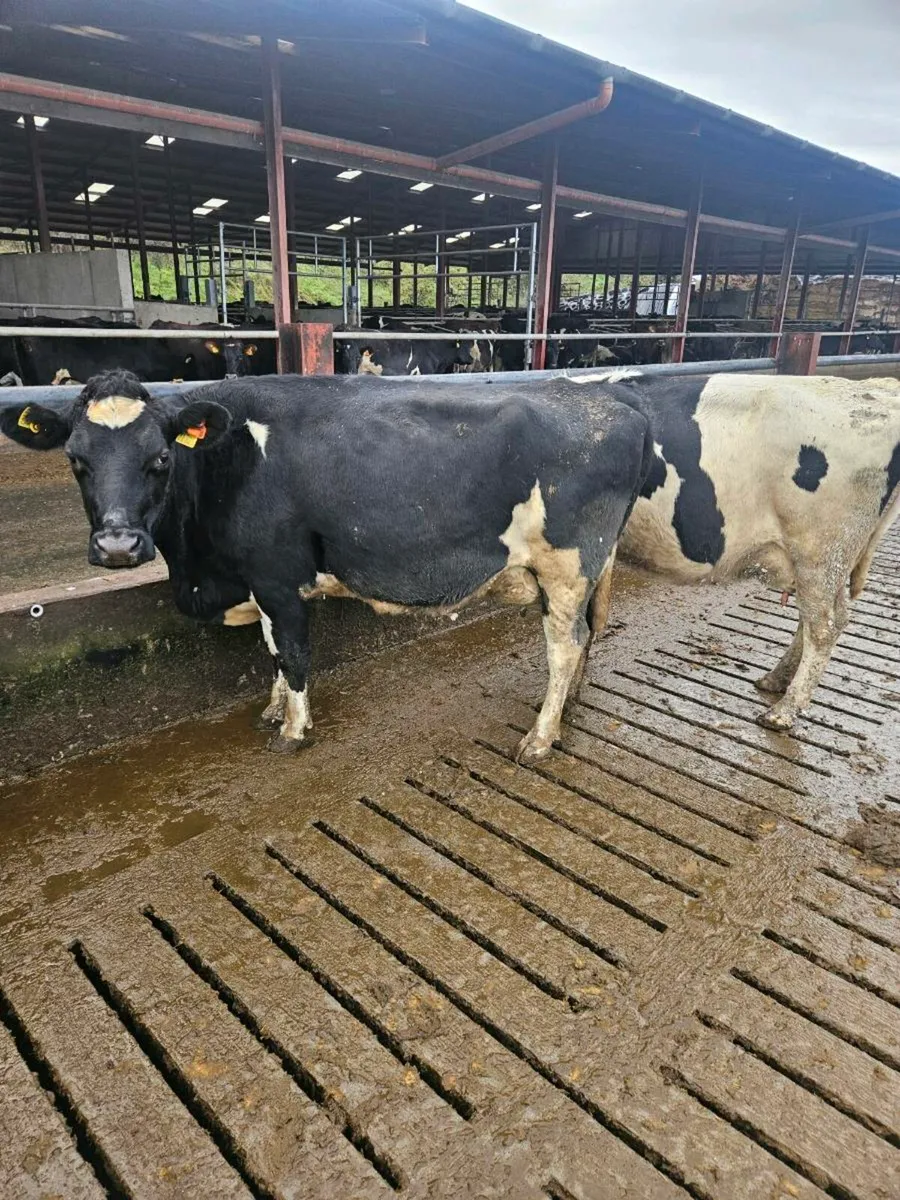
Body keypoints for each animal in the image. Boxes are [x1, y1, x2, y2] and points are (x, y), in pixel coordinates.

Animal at [1, 369, 652, 762]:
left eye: (161, 457)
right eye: (75, 459)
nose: (117, 546)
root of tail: (609, 398)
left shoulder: (274, 576)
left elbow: (290, 652)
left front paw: (293, 729)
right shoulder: (256, 582)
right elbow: (269, 650)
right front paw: (272, 709)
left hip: (567, 564)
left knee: (564, 645)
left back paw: (540, 737)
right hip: (590, 567)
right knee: (589, 631)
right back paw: (568, 706)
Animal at [579, 371, 900, 729]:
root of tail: (877, 388)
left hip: (822, 549)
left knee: (823, 627)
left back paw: (783, 712)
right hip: (830, 559)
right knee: (823, 617)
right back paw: (775, 680)